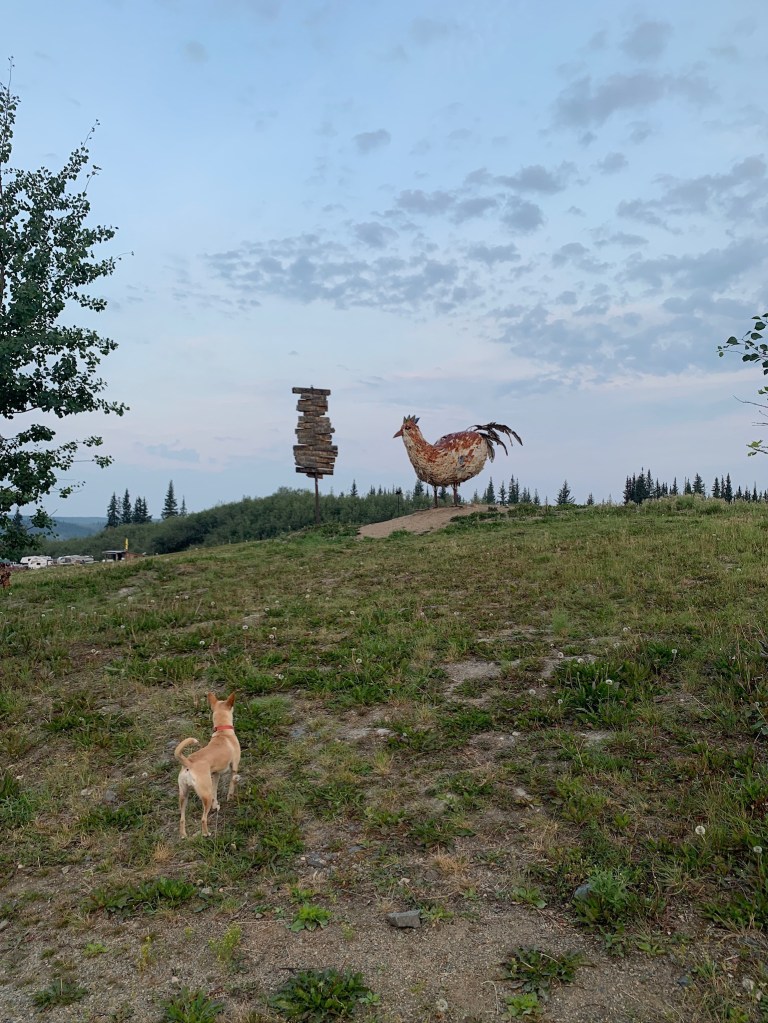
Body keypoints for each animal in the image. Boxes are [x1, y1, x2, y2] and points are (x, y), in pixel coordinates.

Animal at [175, 692, 241, 838]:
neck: (223, 732)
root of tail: (188, 763)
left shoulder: (215, 775)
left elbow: (215, 791)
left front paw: (216, 806)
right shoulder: (234, 767)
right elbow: (232, 784)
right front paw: (230, 797)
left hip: (184, 795)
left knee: (182, 818)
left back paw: (183, 835)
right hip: (205, 795)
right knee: (203, 818)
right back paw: (206, 833)